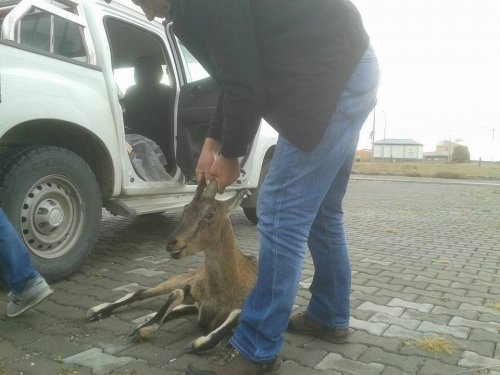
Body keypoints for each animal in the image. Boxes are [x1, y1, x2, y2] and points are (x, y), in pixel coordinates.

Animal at [86, 181, 256, 354]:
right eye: (185, 210)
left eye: (210, 214)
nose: (172, 243)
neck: (222, 290)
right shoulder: (191, 285)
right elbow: (177, 294)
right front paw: (143, 328)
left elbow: (226, 324)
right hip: (179, 278)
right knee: (141, 292)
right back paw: (96, 311)